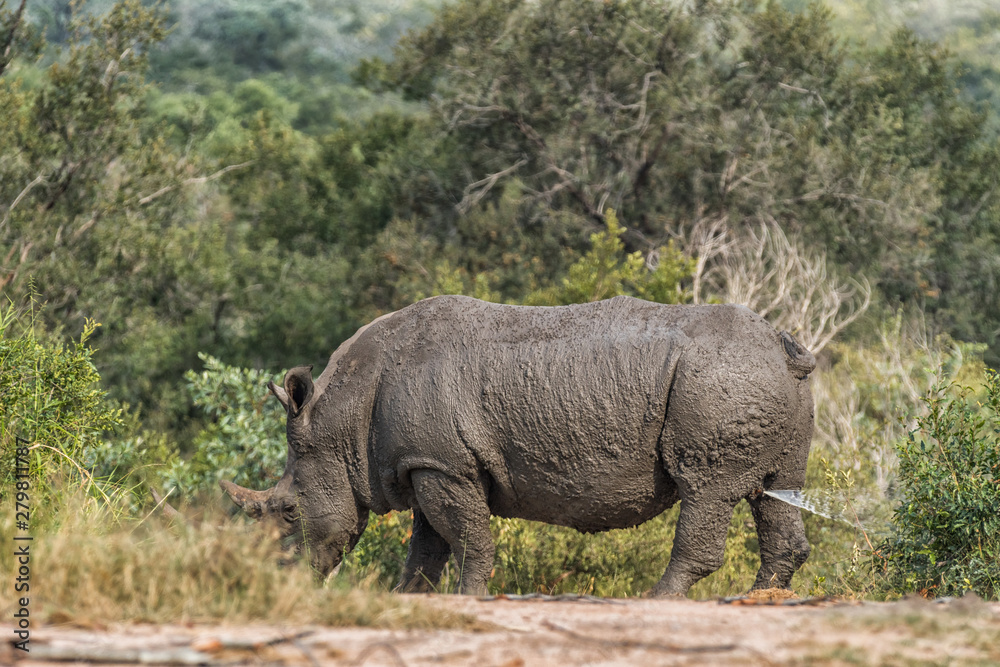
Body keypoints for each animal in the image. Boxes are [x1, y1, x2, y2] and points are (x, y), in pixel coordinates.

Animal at [221, 295, 815, 596]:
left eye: (289, 512)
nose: (276, 584)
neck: (339, 420)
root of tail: (782, 347)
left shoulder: (444, 466)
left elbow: (466, 540)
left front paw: (468, 600)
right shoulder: (426, 463)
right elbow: (427, 548)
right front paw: (406, 598)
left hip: (717, 381)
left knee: (706, 488)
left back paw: (660, 600)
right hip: (757, 383)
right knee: (776, 491)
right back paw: (761, 598)